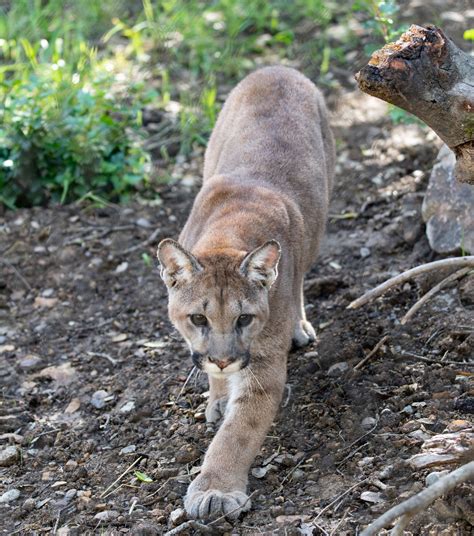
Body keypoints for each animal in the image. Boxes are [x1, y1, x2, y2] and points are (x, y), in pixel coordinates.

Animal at [156, 66, 334, 520]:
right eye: (198, 319)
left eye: (244, 319)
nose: (222, 359)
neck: (228, 234)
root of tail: (277, 67)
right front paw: (219, 395)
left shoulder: (264, 362)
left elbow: (238, 432)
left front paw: (215, 489)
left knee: (302, 273)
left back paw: (299, 326)